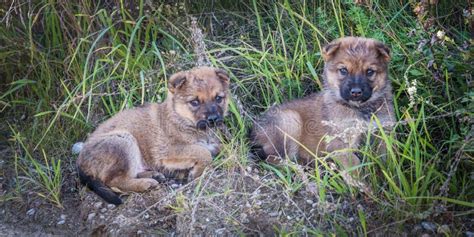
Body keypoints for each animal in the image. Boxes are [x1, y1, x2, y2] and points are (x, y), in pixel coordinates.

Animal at [77, 66, 231, 204]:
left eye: (218, 98)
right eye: (194, 102)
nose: (213, 119)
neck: (180, 119)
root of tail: (80, 163)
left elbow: (220, 147)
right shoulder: (168, 151)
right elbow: (203, 152)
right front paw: (197, 171)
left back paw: (154, 175)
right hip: (123, 141)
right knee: (115, 181)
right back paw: (146, 183)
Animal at [252, 37, 396, 173]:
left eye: (370, 71)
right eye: (343, 70)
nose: (356, 92)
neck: (360, 109)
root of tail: (254, 129)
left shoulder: (383, 132)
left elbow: (386, 158)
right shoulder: (339, 143)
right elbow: (355, 165)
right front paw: (360, 183)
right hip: (290, 121)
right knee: (274, 160)